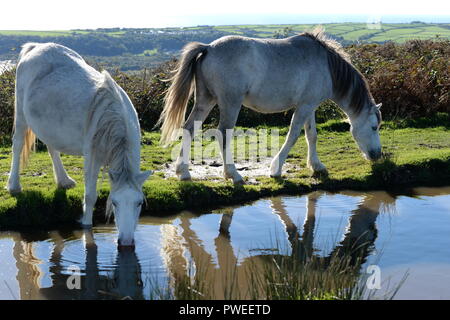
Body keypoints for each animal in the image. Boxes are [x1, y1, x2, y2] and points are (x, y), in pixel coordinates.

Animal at [7, 42, 151, 248]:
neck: (113, 118)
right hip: (20, 115)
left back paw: (64, 180)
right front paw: (86, 226)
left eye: (139, 203)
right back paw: (14, 186)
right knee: (17, 146)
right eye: (114, 203)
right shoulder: (92, 156)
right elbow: (90, 196)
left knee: (52, 148)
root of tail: (36, 46)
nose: (126, 242)